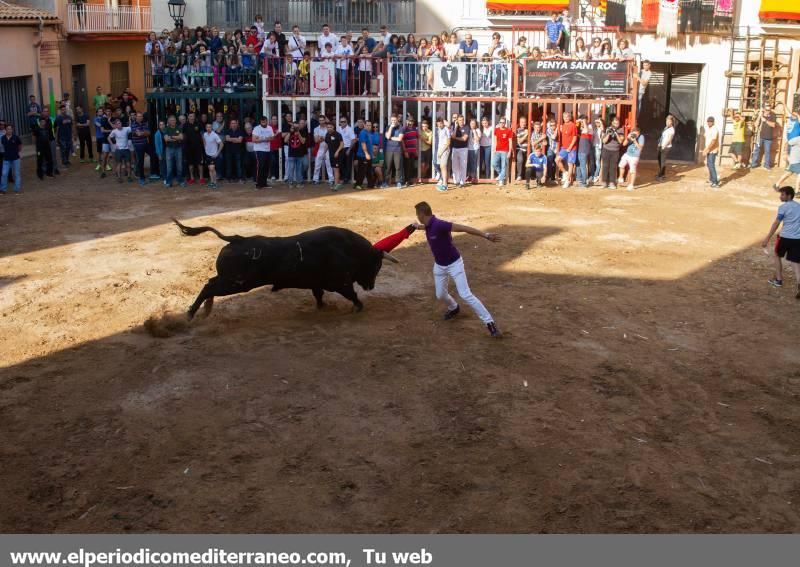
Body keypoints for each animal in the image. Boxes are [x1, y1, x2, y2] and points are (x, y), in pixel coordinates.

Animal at [173, 219, 404, 320]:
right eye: (376, 265)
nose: (371, 287)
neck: (349, 248)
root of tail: (236, 239)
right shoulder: (341, 283)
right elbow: (352, 294)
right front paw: (358, 306)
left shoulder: (317, 283)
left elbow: (318, 295)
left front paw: (322, 307)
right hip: (236, 283)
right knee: (208, 287)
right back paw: (191, 313)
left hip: (229, 280)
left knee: (210, 283)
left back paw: (205, 309)